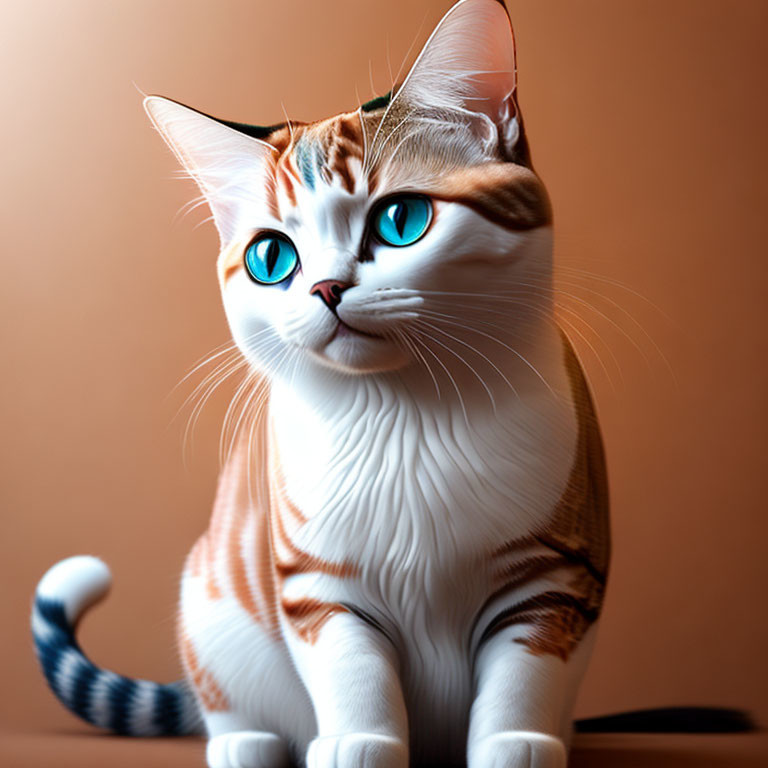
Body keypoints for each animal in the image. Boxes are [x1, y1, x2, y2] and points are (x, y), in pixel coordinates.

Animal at [31, 1, 612, 768]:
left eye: (401, 220)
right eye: (271, 258)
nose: (326, 288)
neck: (407, 423)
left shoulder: (553, 578)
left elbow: (522, 677)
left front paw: (514, 746)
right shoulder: (318, 587)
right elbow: (353, 673)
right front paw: (357, 744)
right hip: (211, 610)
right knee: (226, 701)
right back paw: (244, 743)